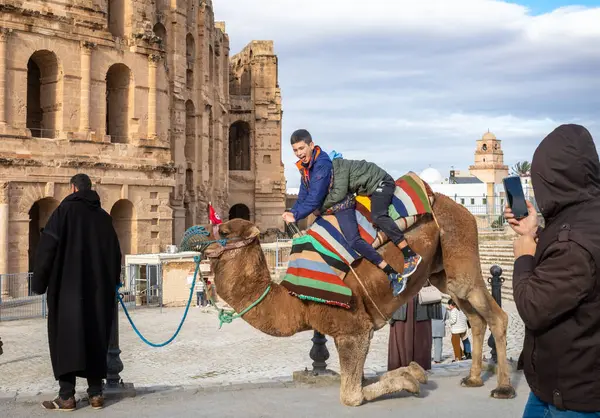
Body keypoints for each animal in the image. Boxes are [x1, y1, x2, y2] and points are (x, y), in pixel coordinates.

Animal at [204, 193, 512, 404]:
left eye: (224, 231)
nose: (202, 244)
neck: (297, 303)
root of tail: (459, 208)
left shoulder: (352, 330)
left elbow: (351, 395)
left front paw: (409, 380)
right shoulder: (360, 330)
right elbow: (364, 377)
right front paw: (412, 372)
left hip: (459, 247)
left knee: (496, 314)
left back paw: (503, 388)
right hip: (442, 272)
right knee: (474, 316)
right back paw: (473, 379)